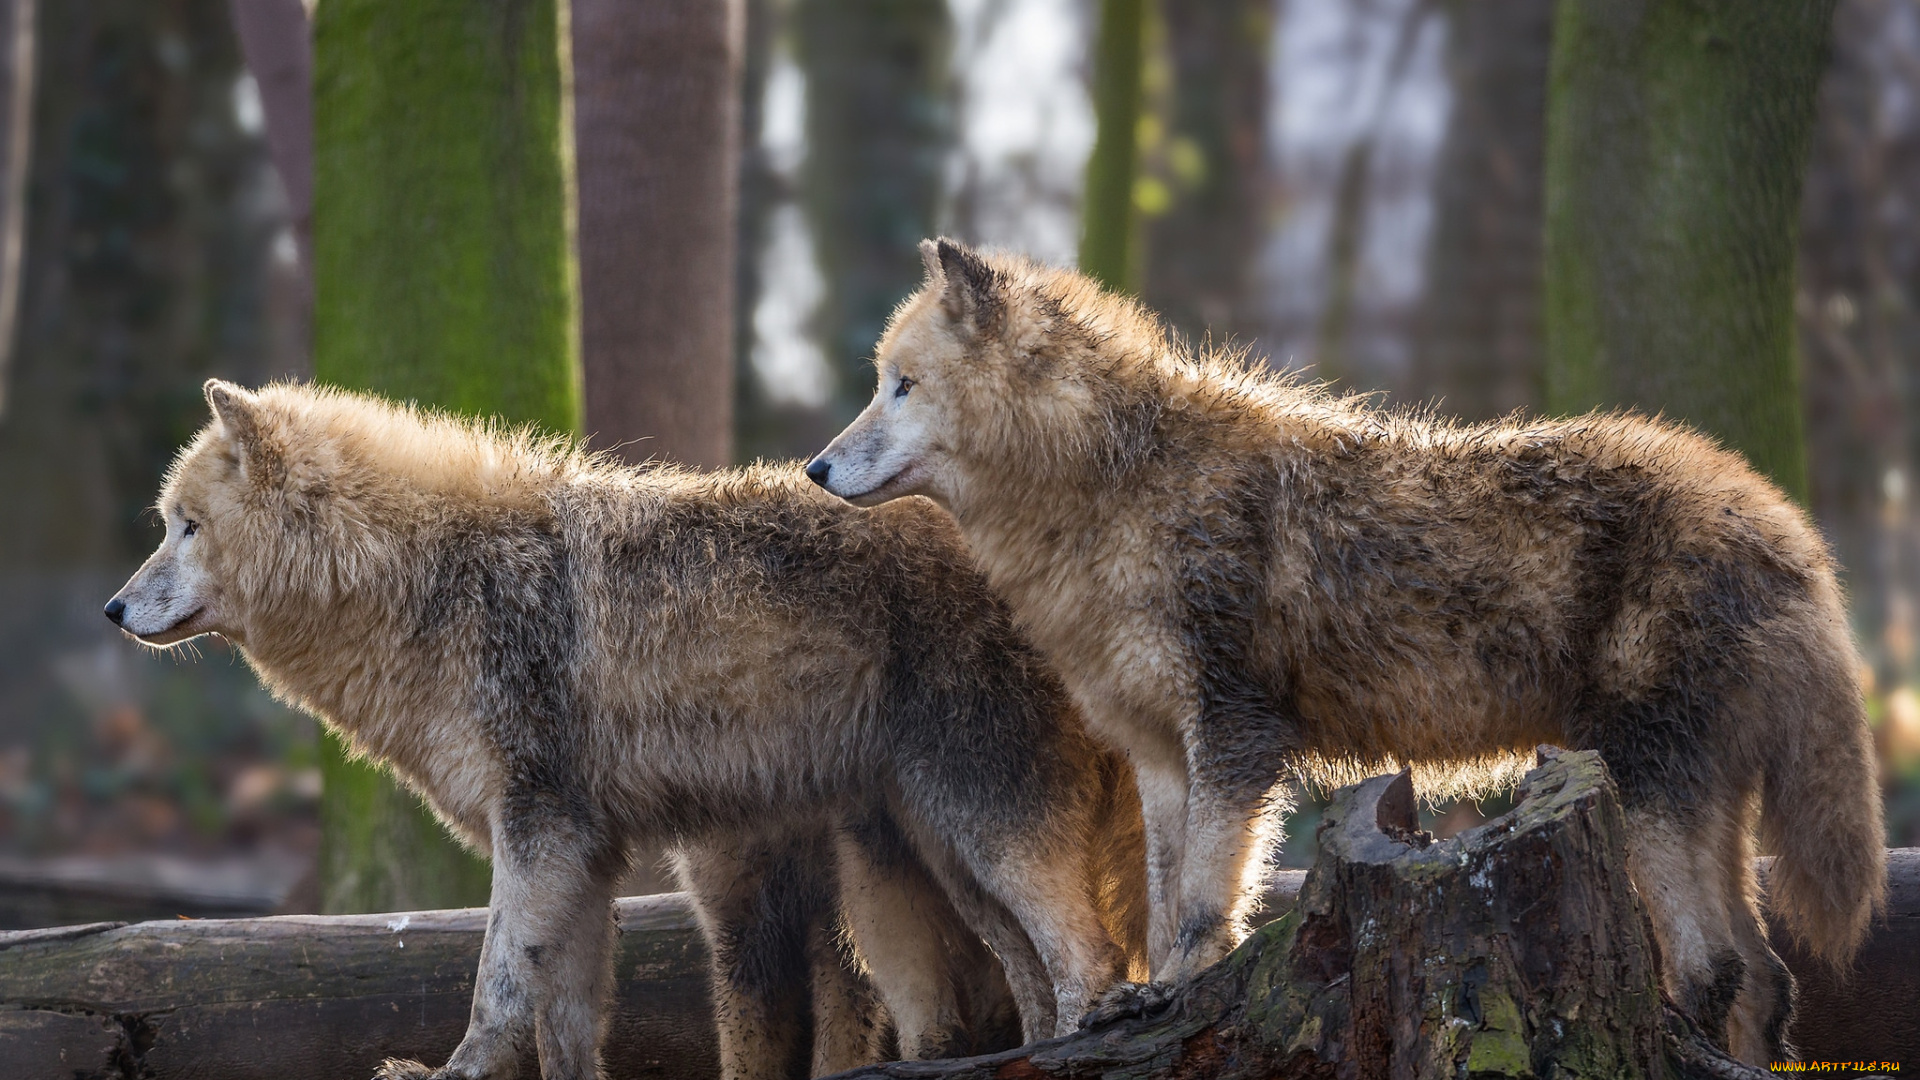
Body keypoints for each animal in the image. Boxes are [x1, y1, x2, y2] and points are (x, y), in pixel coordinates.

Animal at [105, 378, 1144, 1076]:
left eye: (185, 527)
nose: (113, 610)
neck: (432, 583)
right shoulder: (584, 854)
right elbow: (564, 1019)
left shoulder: (537, 836)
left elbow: (496, 988)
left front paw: (453, 1073)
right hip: (939, 849)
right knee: (1033, 976)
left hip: (976, 830)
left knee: (1088, 959)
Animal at [806, 237, 1889, 1060]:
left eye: (901, 387)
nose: (814, 467)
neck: (1115, 485)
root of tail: (1783, 523)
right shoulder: (1162, 756)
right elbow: (1161, 903)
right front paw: (1147, 1001)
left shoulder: (1237, 740)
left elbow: (1199, 906)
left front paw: (1177, 997)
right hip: (1692, 805)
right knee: (1767, 979)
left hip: (1650, 790)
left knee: (1715, 967)